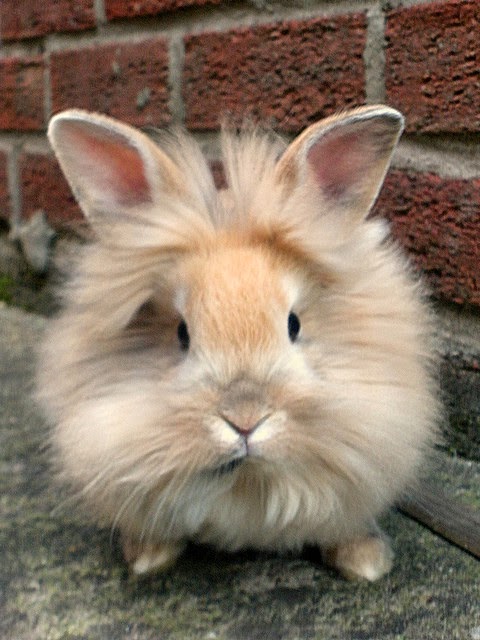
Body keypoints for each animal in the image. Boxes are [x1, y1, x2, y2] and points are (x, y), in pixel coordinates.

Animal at [37, 105, 440, 581]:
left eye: (293, 324)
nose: (245, 420)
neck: (250, 483)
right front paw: (148, 559)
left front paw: (367, 564)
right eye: (182, 333)